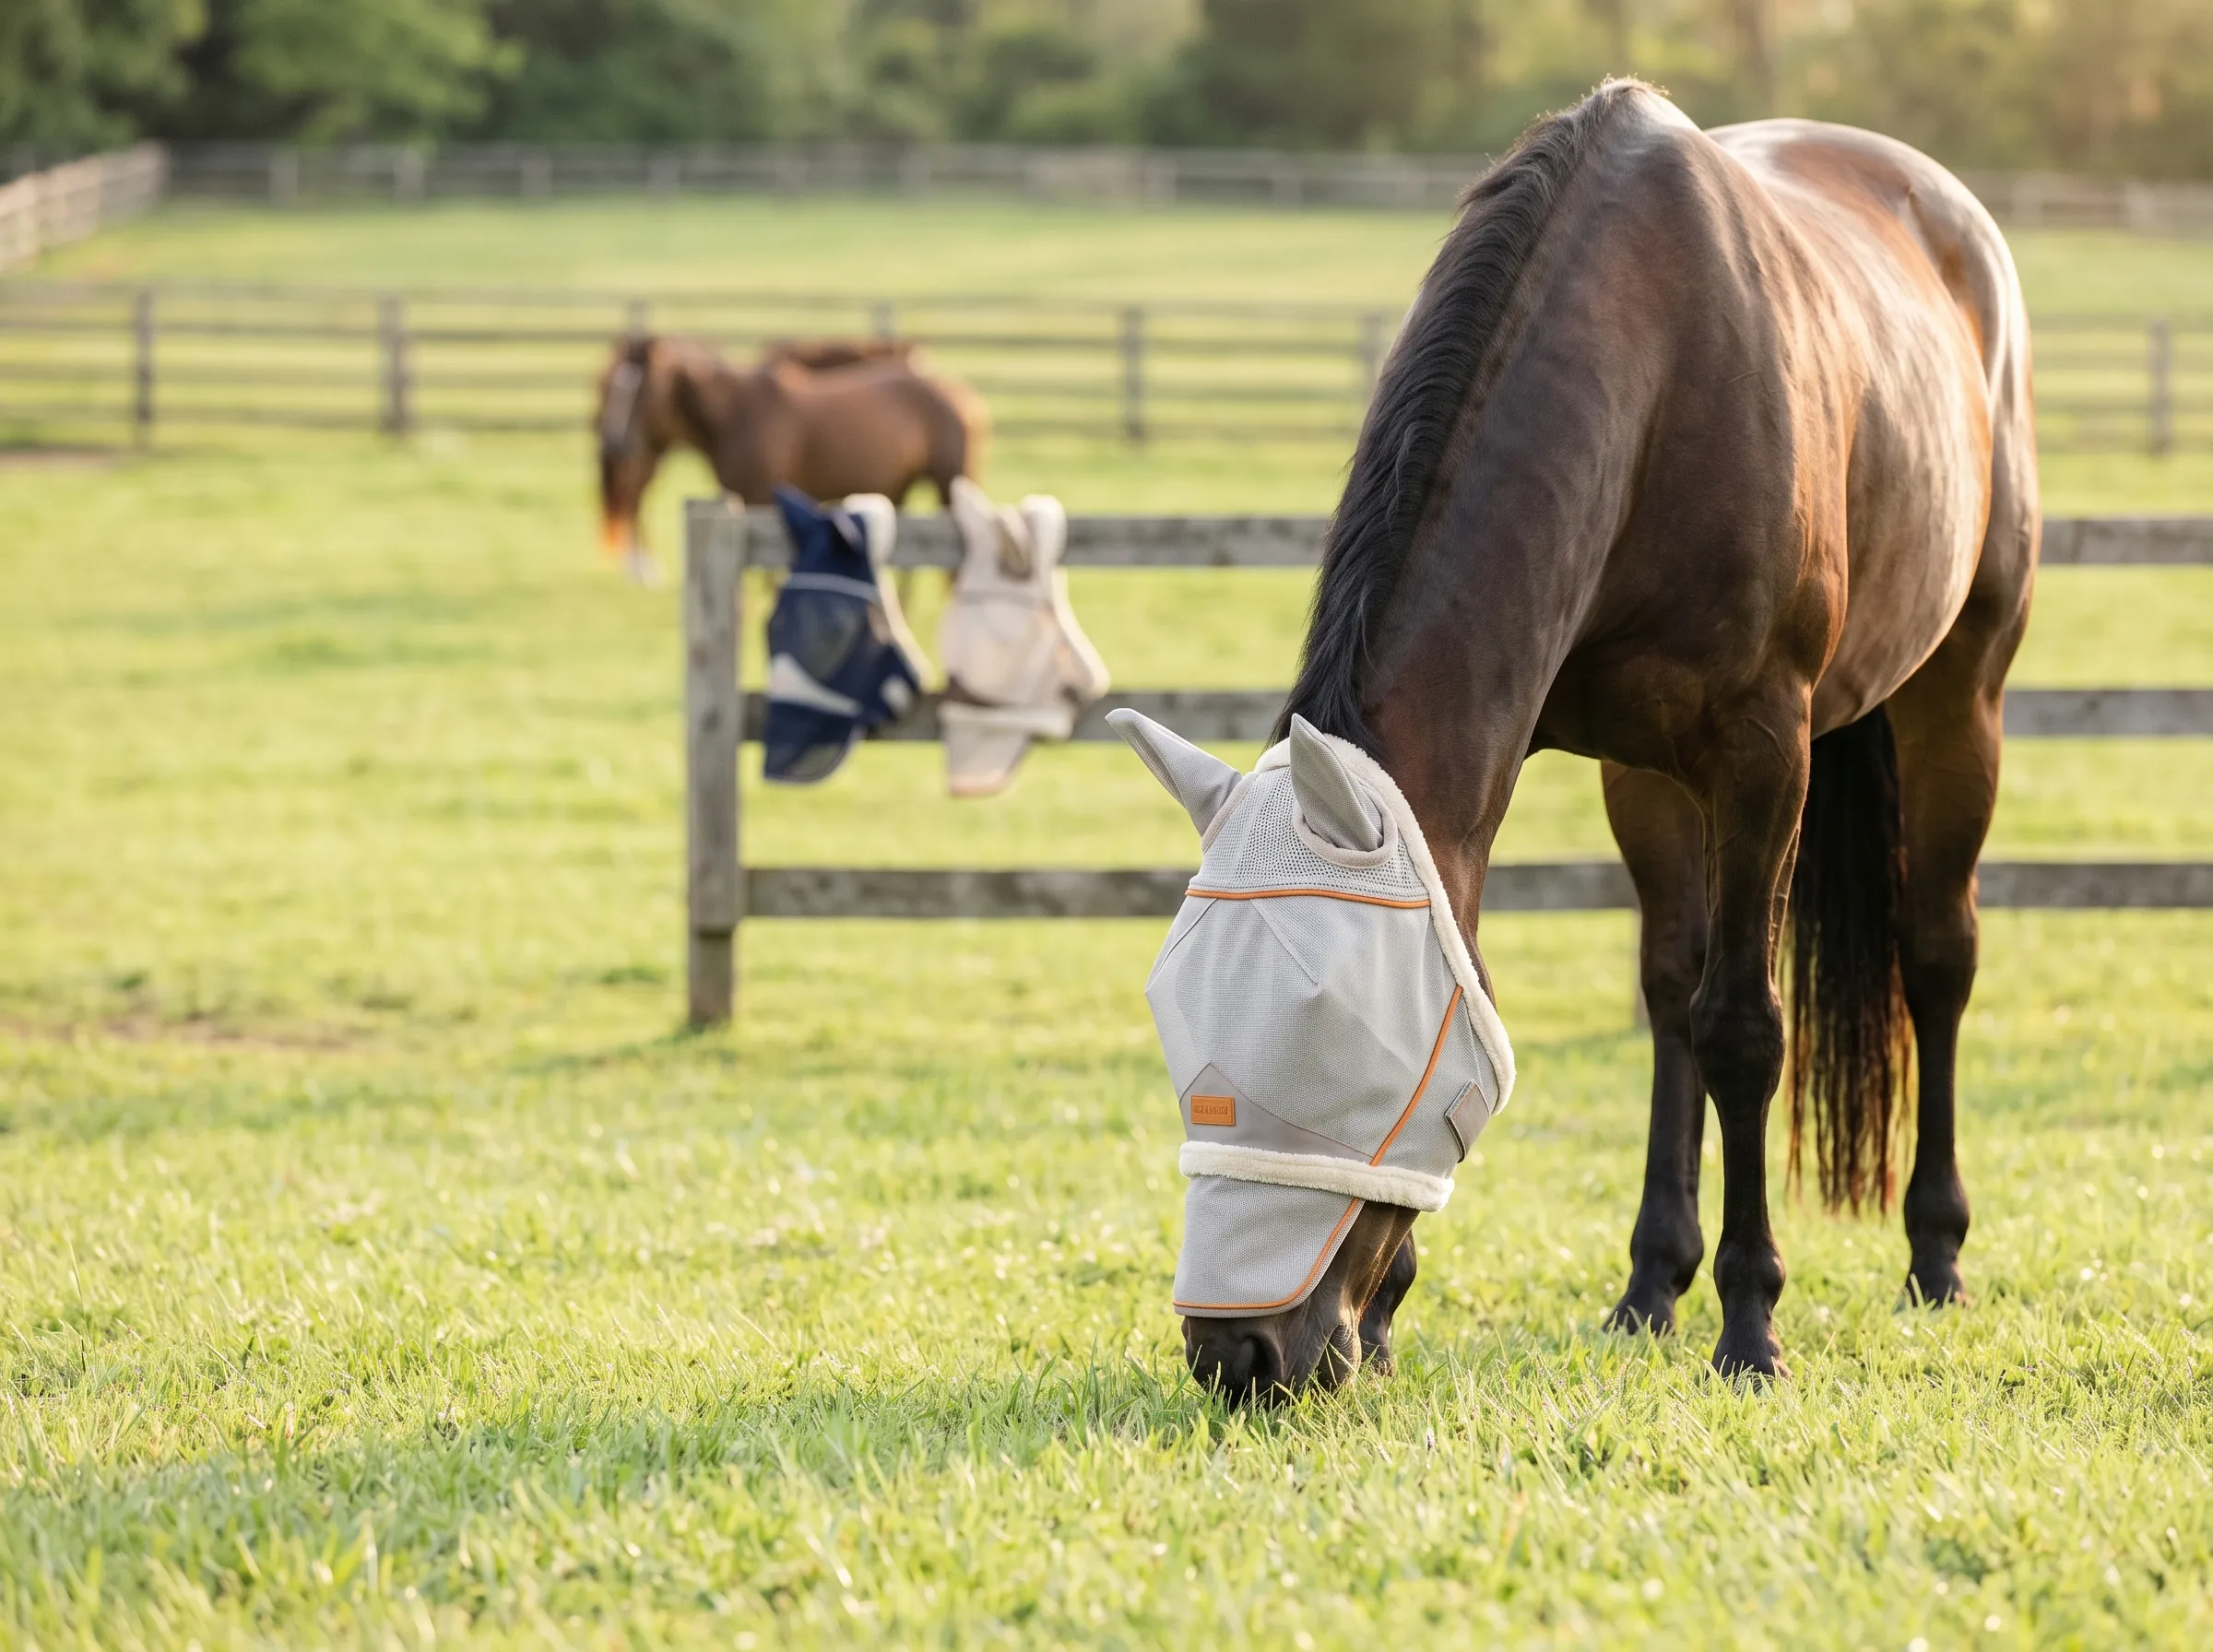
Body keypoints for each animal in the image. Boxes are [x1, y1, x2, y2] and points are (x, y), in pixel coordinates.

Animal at [595, 334, 987, 583]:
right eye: (616, 388)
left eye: (644, 388)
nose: (614, 441)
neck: (736, 415)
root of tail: (966, 398)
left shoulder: (760, 500)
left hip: (948, 485)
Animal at [1141, 80, 2037, 1399]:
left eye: (1343, 1036)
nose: (1237, 1354)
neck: (1660, 377)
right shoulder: (1631, 764)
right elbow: (1673, 994)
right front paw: (1639, 1287)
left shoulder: (1763, 752)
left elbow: (1745, 1026)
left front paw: (1751, 1322)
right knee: (1675, 985)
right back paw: (1654, 1283)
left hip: (1958, 695)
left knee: (1937, 955)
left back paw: (1936, 1255)